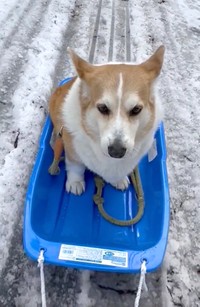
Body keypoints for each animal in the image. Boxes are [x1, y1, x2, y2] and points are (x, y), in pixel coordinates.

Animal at [48, 46, 164, 195]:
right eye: (102, 108)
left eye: (136, 109)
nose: (116, 151)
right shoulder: (71, 149)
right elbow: (75, 167)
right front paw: (75, 182)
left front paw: (118, 180)